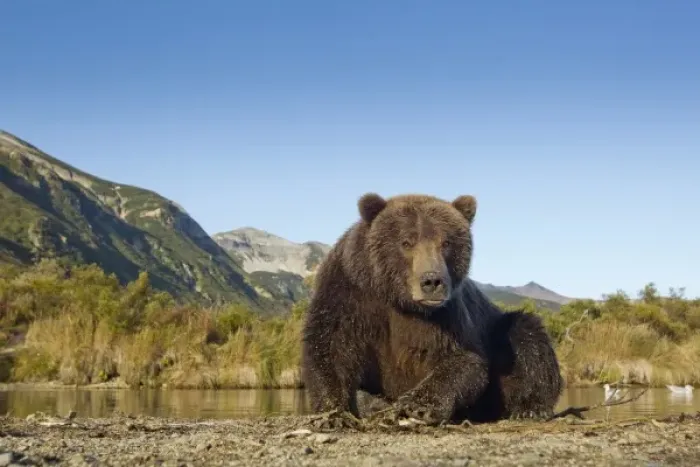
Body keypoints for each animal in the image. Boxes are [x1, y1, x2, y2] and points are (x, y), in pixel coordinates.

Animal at [301, 192, 562, 426]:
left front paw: (416, 405)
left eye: (445, 242)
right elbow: (331, 347)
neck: (398, 299)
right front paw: (333, 413)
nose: (432, 281)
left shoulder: (447, 315)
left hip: (495, 331)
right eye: (406, 242)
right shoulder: (350, 292)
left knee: (526, 335)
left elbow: (463, 360)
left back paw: (530, 408)